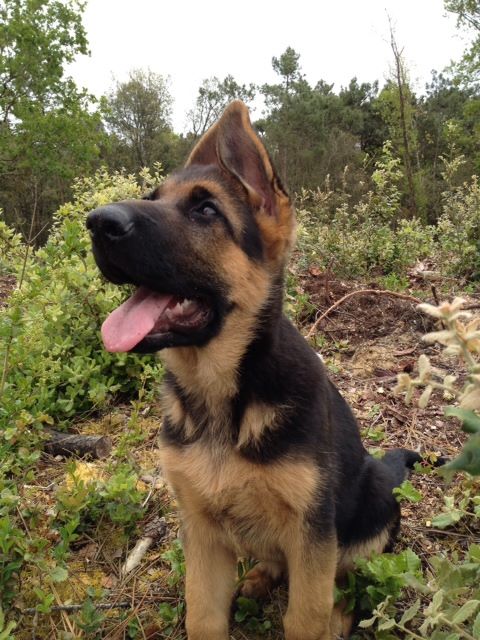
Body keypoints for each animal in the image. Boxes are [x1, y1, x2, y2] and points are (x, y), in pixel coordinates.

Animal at [86, 102, 424, 636]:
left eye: (206, 211)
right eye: (152, 199)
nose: (97, 222)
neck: (222, 393)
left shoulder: (312, 535)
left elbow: (305, 616)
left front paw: (321, 618)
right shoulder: (201, 535)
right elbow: (203, 615)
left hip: (368, 505)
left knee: (350, 580)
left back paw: (338, 614)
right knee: (277, 561)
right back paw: (260, 577)